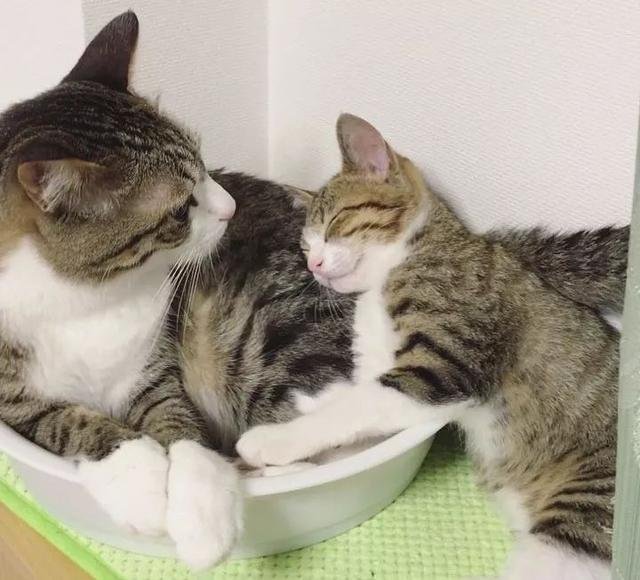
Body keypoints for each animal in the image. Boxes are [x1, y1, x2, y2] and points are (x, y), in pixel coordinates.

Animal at [236, 114, 619, 580]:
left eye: (335, 222)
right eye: (305, 244)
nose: (314, 265)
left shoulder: (443, 365)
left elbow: (359, 406)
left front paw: (272, 441)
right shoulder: (381, 363)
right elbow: (355, 399)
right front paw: (311, 407)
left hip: (582, 519)